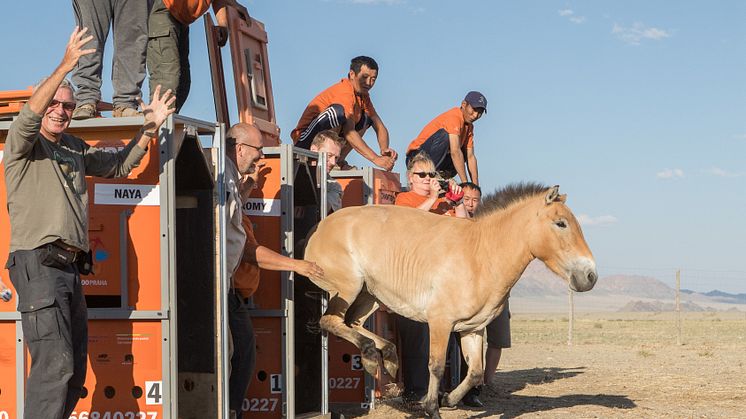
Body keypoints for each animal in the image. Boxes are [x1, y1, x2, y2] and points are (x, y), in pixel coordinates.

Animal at [300, 183, 596, 416]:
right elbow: (436, 365)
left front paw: (448, 399)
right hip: (348, 288)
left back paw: (384, 357)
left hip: (368, 294)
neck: (479, 254)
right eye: (561, 223)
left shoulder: (472, 329)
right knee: (331, 321)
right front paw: (432, 407)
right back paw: (375, 355)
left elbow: (475, 371)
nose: (590, 275)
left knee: (352, 323)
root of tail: (320, 226)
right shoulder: (440, 323)